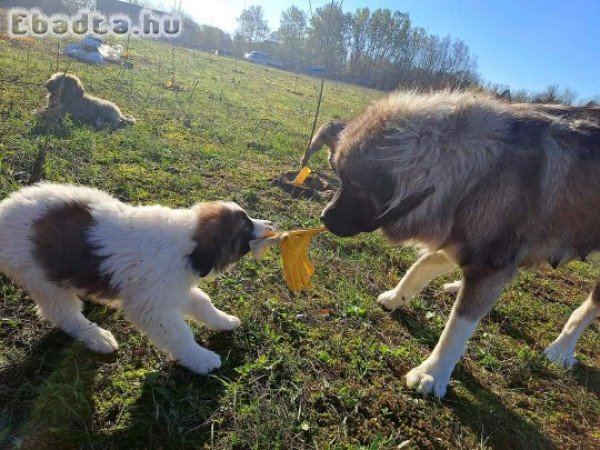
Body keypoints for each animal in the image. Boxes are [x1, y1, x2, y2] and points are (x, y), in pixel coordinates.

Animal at [0, 182, 274, 372]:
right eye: (246, 228)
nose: (271, 225)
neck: (186, 244)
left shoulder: (173, 289)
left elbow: (203, 303)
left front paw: (224, 321)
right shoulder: (153, 306)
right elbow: (180, 333)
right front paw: (200, 358)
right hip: (44, 278)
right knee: (63, 313)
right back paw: (97, 337)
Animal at [318, 90, 600, 398]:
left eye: (356, 187)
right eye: (339, 177)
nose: (324, 218)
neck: (479, 174)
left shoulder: (489, 265)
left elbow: (457, 327)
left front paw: (432, 373)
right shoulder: (461, 240)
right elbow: (421, 266)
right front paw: (396, 297)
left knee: (587, 308)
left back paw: (561, 349)